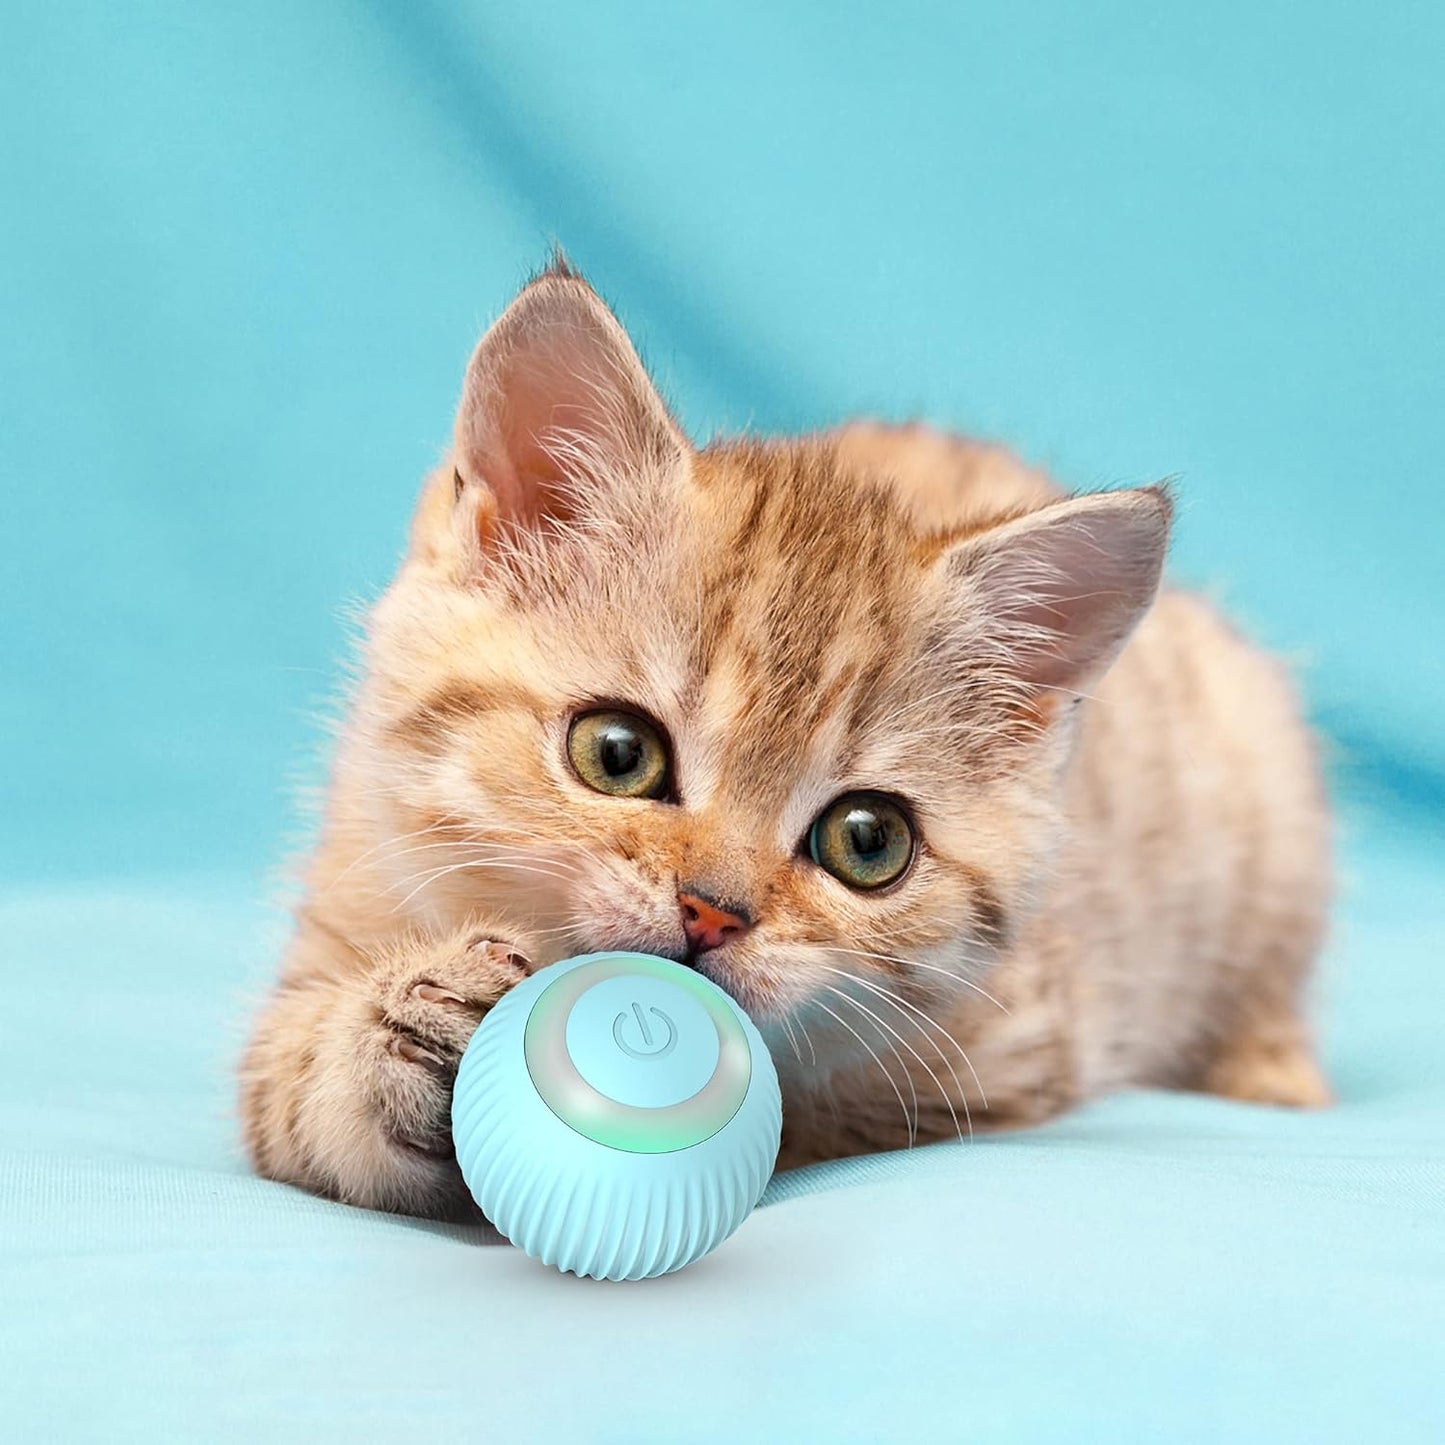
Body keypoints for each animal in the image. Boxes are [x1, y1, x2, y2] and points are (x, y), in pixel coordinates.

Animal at [236, 262, 1329, 1219]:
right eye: (616, 752)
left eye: (868, 841)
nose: (710, 912)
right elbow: (291, 1082)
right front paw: (406, 1028)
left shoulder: (1004, 1057)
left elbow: (803, 1117)